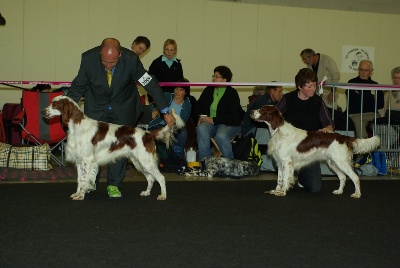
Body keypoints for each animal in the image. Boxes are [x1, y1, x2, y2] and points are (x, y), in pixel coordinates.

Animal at [42, 95, 184, 200]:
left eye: (54, 104)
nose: (43, 111)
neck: (77, 126)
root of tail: (148, 133)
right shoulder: (79, 161)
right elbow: (80, 179)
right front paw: (77, 193)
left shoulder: (87, 160)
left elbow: (84, 179)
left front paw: (81, 195)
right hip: (138, 162)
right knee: (151, 178)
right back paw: (146, 192)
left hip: (145, 160)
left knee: (160, 177)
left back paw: (163, 196)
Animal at [250, 105, 382, 198]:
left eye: (262, 110)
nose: (251, 112)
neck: (278, 132)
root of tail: (344, 137)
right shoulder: (279, 162)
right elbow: (280, 179)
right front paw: (276, 190)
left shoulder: (286, 162)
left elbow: (286, 179)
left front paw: (282, 192)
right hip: (333, 163)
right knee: (343, 177)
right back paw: (339, 191)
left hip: (341, 162)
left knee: (355, 177)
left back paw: (357, 194)